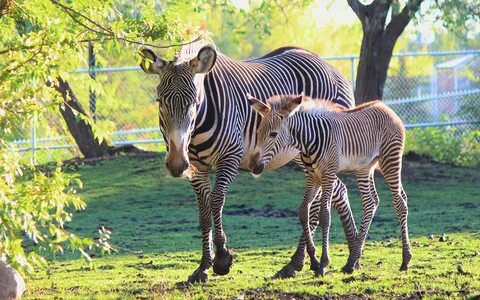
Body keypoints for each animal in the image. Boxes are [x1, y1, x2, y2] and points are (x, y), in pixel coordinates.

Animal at [139, 41, 356, 282]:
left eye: (194, 102)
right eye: (160, 102)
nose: (177, 164)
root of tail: (330, 67)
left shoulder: (231, 156)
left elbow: (216, 201)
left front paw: (222, 258)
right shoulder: (196, 167)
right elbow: (203, 211)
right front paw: (203, 266)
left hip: (315, 151)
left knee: (318, 201)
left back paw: (297, 263)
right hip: (306, 155)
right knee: (339, 190)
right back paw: (352, 255)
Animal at [248, 94, 412, 276]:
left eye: (273, 134)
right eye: (258, 133)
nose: (255, 167)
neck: (309, 139)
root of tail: (386, 107)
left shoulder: (328, 173)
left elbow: (324, 215)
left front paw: (323, 263)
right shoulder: (313, 176)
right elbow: (303, 211)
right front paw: (313, 259)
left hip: (390, 159)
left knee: (399, 202)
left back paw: (405, 260)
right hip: (364, 166)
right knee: (371, 202)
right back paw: (351, 261)